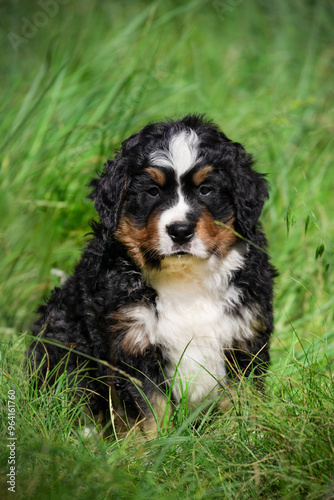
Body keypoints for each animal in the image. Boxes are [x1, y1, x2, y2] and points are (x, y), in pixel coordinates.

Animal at [30, 113, 276, 434]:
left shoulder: (244, 338)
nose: (180, 231)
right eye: (152, 191)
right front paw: (154, 447)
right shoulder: (132, 343)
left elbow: (241, 402)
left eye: (206, 190)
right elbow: (150, 411)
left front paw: (244, 438)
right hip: (62, 340)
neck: (185, 278)